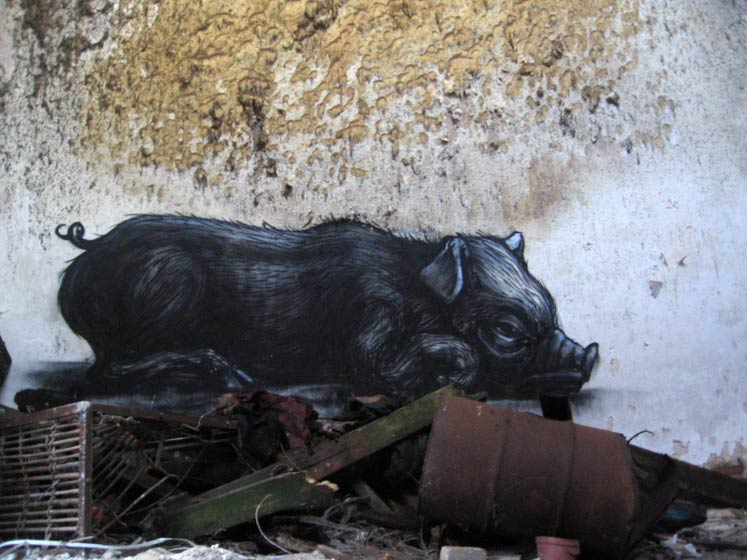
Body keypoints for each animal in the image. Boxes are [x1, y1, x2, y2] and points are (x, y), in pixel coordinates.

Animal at [54, 215, 598, 399]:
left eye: (552, 310)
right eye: (506, 331)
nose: (589, 354)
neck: (415, 292)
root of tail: (84, 260)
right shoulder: (369, 332)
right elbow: (386, 367)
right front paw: (454, 375)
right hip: (165, 288)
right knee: (105, 371)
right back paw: (233, 376)